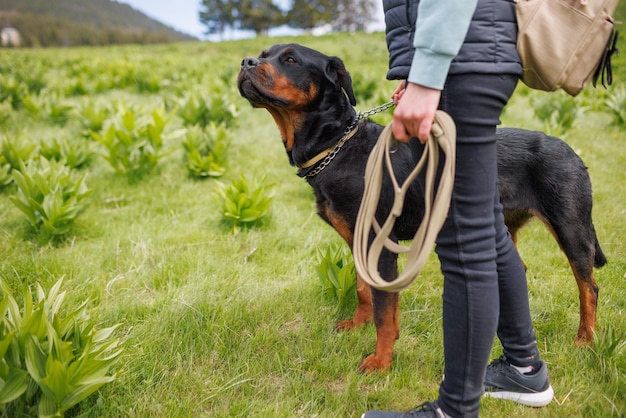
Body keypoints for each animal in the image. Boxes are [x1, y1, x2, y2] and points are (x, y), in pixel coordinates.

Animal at [235, 44, 604, 374]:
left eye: (291, 60)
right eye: (265, 55)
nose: (246, 61)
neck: (339, 147)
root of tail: (573, 152)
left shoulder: (380, 246)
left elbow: (384, 310)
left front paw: (380, 362)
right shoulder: (359, 242)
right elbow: (363, 290)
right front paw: (358, 325)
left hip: (570, 226)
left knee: (588, 286)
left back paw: (585, 339)